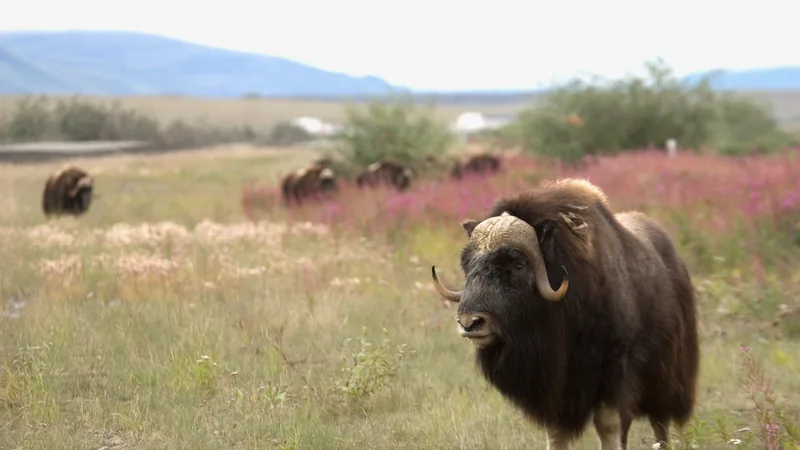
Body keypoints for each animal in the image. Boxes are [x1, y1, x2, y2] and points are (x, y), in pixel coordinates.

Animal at [430, 178, 699, 450]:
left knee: (660, 421)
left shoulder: (614, 371)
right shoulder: (554, 387)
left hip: (667, 376)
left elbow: (609, 425)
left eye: (518, 264)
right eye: (467, 265)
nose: (470, 322)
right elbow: (556, 432)